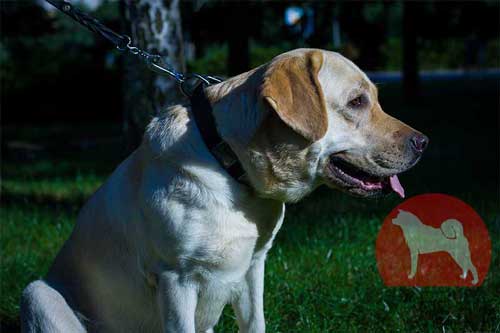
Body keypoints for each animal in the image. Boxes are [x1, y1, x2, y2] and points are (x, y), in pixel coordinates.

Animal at [19, 48, 426, 330]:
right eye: (357, 102)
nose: (423, 142)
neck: (232, 167)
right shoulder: (176, 279)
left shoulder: (253, 266)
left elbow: (256, 323)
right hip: (36, 294)